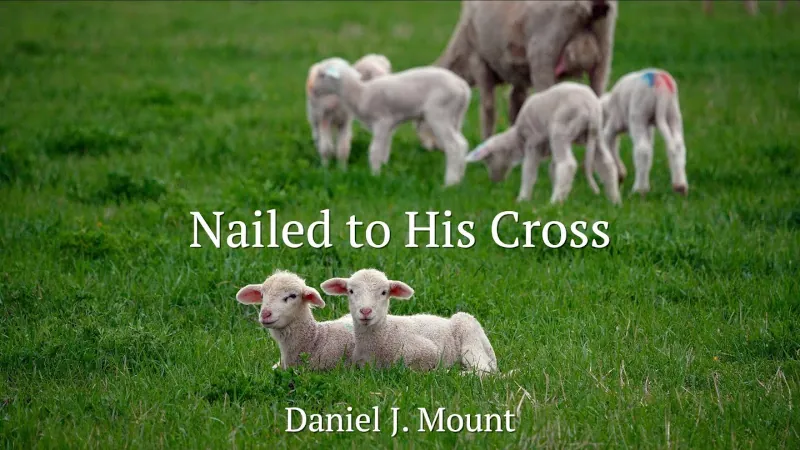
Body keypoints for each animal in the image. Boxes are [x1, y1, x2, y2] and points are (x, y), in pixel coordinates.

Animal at [306, 58, 472, 187]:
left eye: (322, 74)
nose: (311, 88)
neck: (361, 93)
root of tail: (463, 87)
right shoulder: (390, 126)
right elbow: (384, 151)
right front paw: (384, 171)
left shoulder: (382, 121)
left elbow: (374, 150)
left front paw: (374, 175)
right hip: (456, 116)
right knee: (462, 143)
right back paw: (460, 179)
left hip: (439, 113)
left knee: (453, 145)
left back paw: (449, 182)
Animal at [320, 269, 498, 375]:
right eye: (350, 291)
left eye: (384, 292)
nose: (365, 311)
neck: (385, 335)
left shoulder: (428, 351)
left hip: (469, 335)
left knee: (484, 371)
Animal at [422, 0, 617, 146]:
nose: (429, 147)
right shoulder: (519, 74)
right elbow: (516, 104)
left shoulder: (479, 61)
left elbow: (488, 108)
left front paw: (485, 144)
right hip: (604, 53)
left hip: (544, 52)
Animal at [466, 82, 621, 205]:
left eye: (487, 160)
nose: (494, 180)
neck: (518, 140)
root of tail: (590, 108)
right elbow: (552, 168)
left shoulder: (533, 142)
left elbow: (529, 171)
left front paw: (522, 199)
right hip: (597, 134)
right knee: (607, 164)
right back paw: (614, 201)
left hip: (561, 130)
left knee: (567, 164)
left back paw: (555, 202)